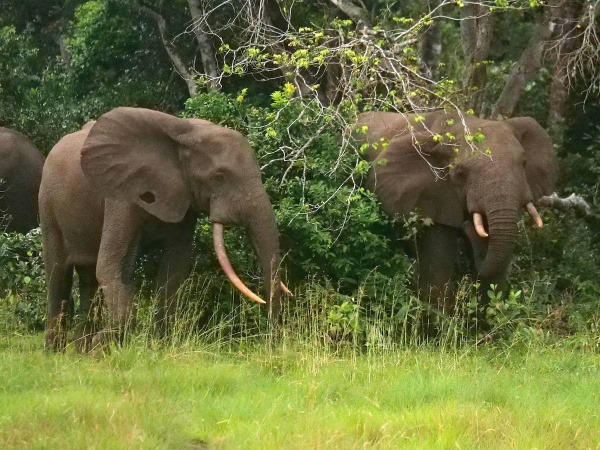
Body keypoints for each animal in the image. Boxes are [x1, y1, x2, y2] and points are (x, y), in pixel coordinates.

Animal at [39, 106, 288, 352]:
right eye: (219, 177)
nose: (271, 344)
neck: (185, 135)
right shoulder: (121, 196)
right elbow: (111, 266)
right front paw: (101, 345)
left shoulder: (184, 199)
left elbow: (174, 268)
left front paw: (158, 347)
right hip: (47, 205)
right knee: (58, 275)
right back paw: (56, 352)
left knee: (89, 278)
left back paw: (79, 352)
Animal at [354, 109, 560, 312]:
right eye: (461, 172)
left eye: (524, 163)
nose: (467, 225)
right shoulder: (432, 195)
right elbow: (438, 267)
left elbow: (495, 273)